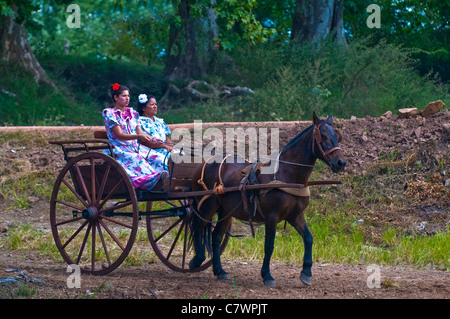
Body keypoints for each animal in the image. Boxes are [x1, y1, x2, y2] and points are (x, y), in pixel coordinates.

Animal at [188, 113, 346, 288]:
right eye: (323, 136)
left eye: (336, 136)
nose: (341, 162)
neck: (286, 174)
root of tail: (205, 163)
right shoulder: (272, 216)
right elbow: (269, 245)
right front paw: (267, 275)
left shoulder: (296, 216)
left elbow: (308, 238)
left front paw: (306, 273)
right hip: (207, 206)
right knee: (197, 227)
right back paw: (197, 260)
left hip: (226, 211)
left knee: (215, 237)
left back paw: (220, 271)